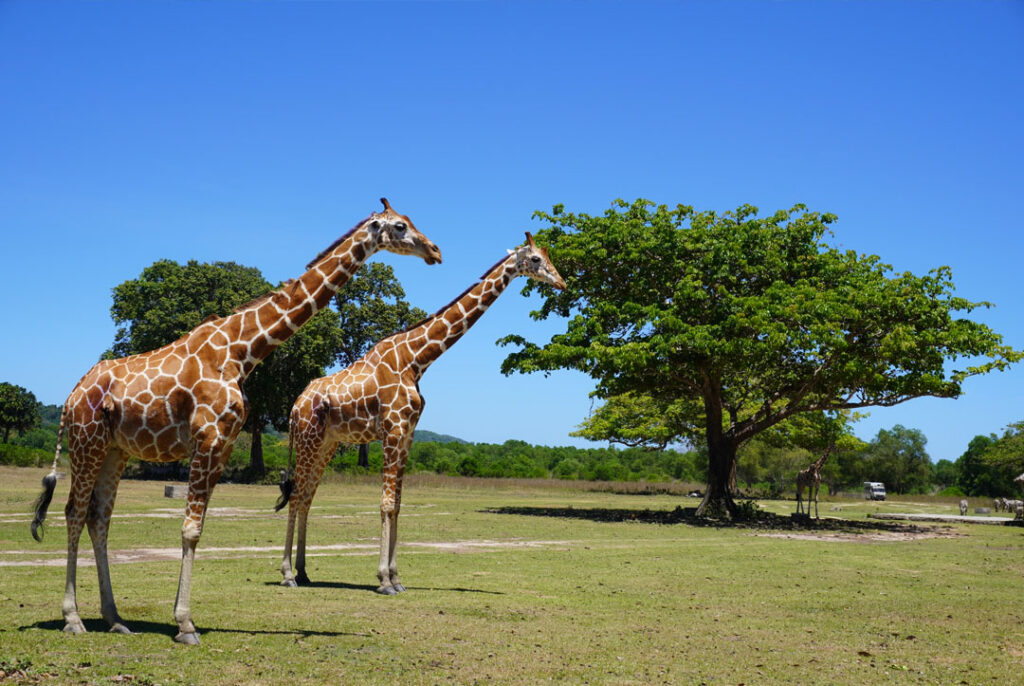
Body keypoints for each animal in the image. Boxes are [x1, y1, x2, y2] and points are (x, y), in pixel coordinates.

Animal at [30, 197, 440, 647]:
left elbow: (197, 528)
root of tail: (71, 396)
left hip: (115, 449)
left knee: (97, 517)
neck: (242, 351)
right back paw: (73, 618)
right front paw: (185, 625)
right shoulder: (207, 438)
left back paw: (115, 617)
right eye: (400, 227)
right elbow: (190, 530)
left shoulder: (223, 443)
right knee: (73, 512)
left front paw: (181, 618)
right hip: (86, 441)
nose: (435, 251)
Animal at [276, 233, 565, 593]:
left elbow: (398, 504)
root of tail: (294, 406)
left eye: (548, 257)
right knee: (297, 495)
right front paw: (384, 580)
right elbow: (386, 503)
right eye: (537, 259)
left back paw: (303, 572)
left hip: (327, 444)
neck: (417, 359)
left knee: (306, 497)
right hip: (308, 439)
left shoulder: (408, 433)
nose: (562, 282)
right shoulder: (393, 428)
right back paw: (288, 575)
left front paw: (397, 578)